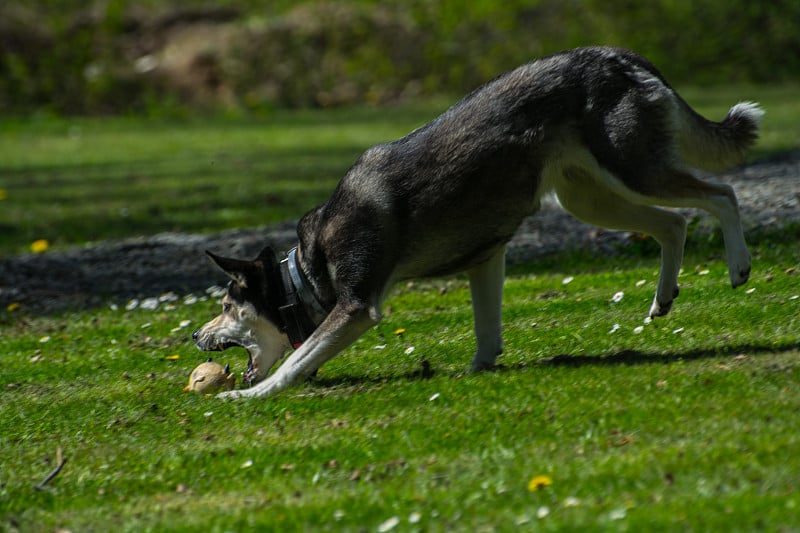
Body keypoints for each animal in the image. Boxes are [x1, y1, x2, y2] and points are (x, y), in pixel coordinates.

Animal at [194, 45, 764, 396]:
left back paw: (739, 266)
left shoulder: (357, 306)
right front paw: (479, 368)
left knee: (722, 194)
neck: (306, 273)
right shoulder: (485, 259)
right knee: (673, 224)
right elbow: (487, 334)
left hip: (633, 169)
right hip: (590, 198)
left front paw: (249, 398)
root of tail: (618, 55)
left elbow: (295, 363)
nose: (197, 337)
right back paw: (663, 297)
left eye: (225, 307)